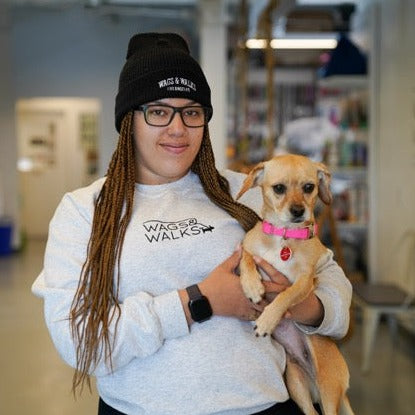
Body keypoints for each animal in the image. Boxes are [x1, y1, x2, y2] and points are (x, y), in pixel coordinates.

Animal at [237, 154, 354, 415]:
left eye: (309, 187)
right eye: (279, 188)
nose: (298, 211)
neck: (284, 236)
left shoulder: (304, 282)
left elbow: (285, 296)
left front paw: (267, 320)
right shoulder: (246, 249)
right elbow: (246, 259)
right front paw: (252, 286)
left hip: (328, 389)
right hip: (297, 385)